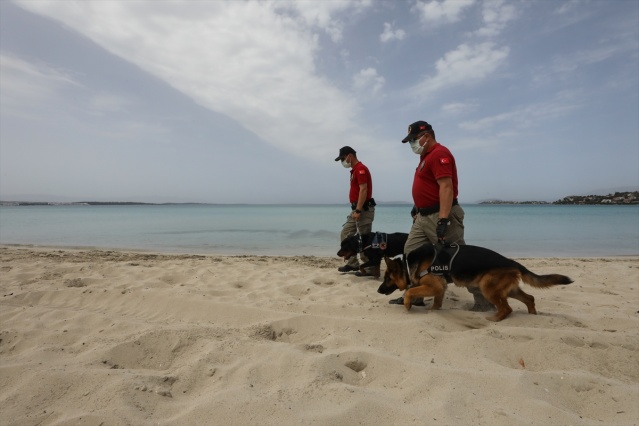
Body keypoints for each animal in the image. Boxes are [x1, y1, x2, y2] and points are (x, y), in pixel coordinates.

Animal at [380, 241, 576, 322]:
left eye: (387, 278)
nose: (378, 290)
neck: (407, 264)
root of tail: (512, 262)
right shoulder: (440, 287)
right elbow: (437, 301)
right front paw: (434, 310)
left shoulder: (434, 285)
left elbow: (411, 290)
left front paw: (407, 304)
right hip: (509, 289)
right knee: (529, 298)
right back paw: (532, 315)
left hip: (487, 287)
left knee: (507, 308)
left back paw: (495, 318)